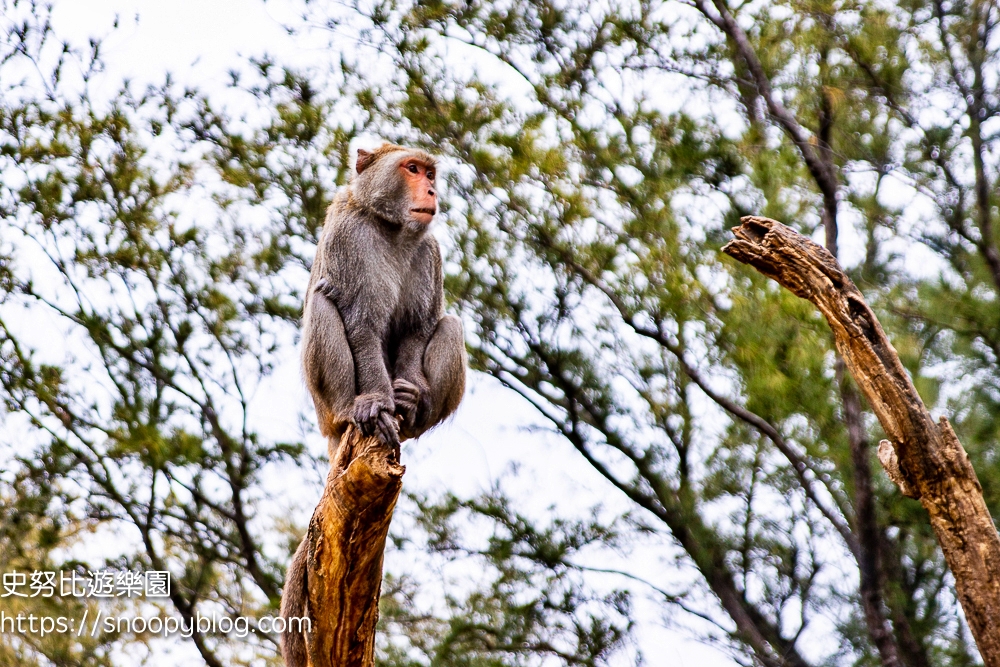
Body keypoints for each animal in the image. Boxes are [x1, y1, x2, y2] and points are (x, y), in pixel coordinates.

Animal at [280, 142, 466, 667]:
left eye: (429, 173)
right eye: (412, 169)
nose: (431, 191)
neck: (391, 228)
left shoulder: (430, 252)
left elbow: (419, 328)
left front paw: (406, 397)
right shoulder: (350, 238)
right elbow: (360, 321)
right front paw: (379, 404)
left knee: (451, 325)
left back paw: (410, 414)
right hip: (324, 405)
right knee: (324, 304)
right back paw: (356, 411)